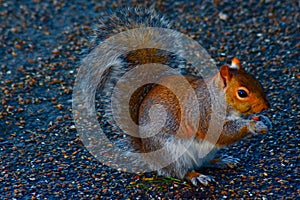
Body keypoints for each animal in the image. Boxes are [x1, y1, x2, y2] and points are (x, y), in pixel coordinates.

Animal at [86, 7, 272, 186]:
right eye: (242, 93)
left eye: (256, 80)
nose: (266, 106)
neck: (218, 97)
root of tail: (148, 153)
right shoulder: (205, 113)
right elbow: (222, 134)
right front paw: (252, 125)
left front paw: (264, 119)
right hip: (172, 154)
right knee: (179, 172)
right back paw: (197, 176)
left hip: (205, 152)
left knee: (203, 162)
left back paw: (221, 161)